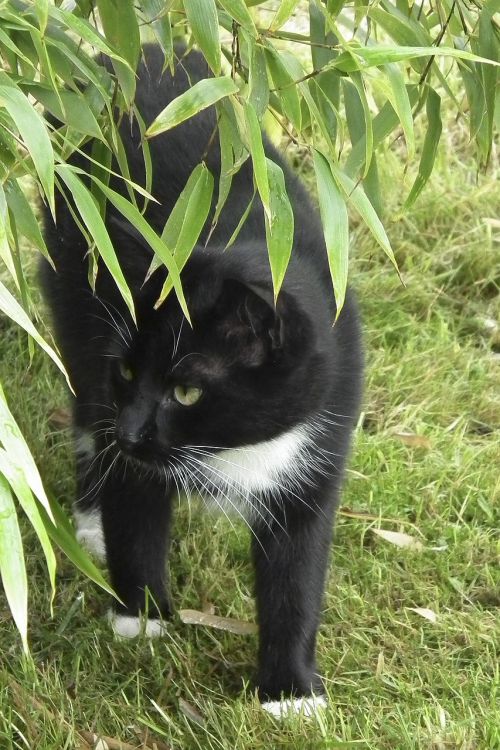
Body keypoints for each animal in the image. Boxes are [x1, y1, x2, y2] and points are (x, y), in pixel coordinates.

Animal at [41, 47, 362, 716]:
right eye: (128, 370)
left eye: (186, 390)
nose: (132, 431)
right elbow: (135, 510)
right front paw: (141, 622)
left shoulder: (325, 437)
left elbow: (298, 570)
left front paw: (291, 693)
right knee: (85, 411)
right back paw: (90, 518)